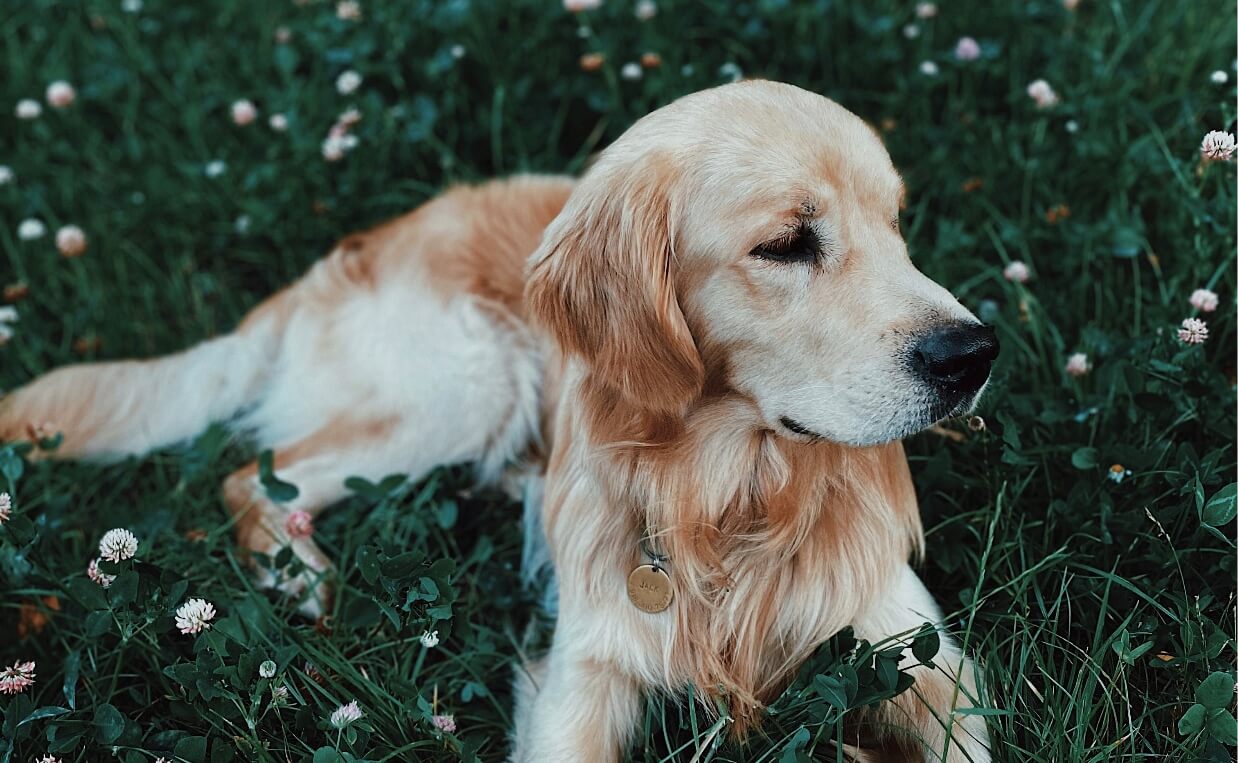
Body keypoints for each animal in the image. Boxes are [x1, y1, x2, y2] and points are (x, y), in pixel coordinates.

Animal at [0, 80, 995, 758]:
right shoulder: (585, 667)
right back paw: (304, 579)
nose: (974, 353)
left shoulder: (919, 647)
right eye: (786, 244)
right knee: (253, 475)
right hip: (465, 385)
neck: (730, 497)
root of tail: (353, 250)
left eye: (897, 225)